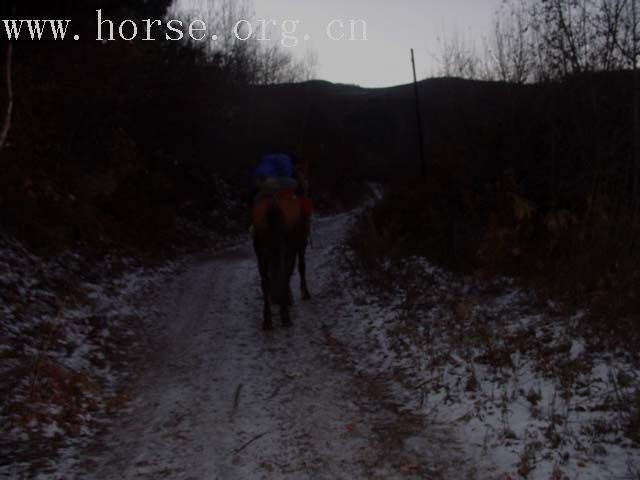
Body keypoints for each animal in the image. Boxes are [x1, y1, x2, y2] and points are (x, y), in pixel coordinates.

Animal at [251, 192, 312, 330]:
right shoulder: (300, 245)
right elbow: (300, 267)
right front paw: (303, 294)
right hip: (287, 247)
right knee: (284, 274)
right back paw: (285, 316)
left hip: (261, 251)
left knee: (265, 280)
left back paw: (267, 320)